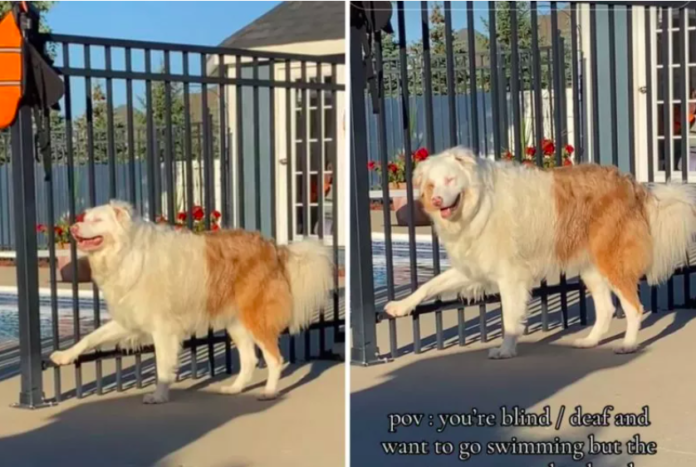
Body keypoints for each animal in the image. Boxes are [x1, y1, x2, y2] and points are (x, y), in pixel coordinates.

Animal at [49, 203, 332, 404]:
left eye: (97, 220)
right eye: (84, 218)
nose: (73, 228)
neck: (127, 252)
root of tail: (274, 247)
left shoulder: (162, 328)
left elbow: (163, 365)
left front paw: (159, 396)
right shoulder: (129, 319)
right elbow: (90, 337)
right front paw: (64, 355)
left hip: (255, 317)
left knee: (274, 358)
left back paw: (269, 392)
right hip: (236, 322)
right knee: (250, 360)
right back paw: (235, 388)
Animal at [386, 148, 696, 360]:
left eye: (450, 180)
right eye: (431, 185)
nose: (437, 200)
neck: (478, 205)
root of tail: (632, 184)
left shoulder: (510, 276)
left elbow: (510, 318)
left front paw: (505, 350)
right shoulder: (472, 267)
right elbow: (429, 285)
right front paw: (400, 306)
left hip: (611, 260)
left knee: (633, 308)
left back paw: (628, 345)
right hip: (591, 266)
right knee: (607, 309)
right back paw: (590, 342)